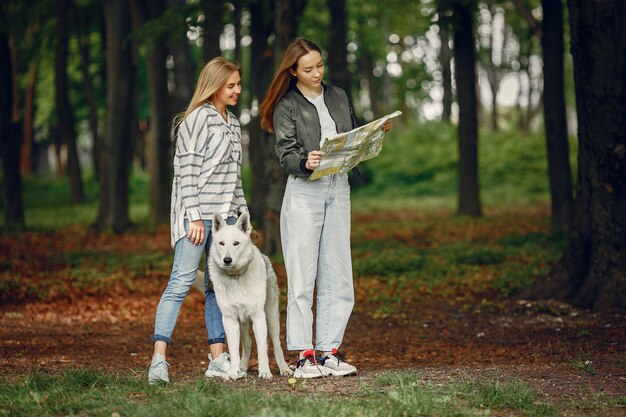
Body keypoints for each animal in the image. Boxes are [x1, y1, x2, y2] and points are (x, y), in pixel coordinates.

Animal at [201, 213, 294, 378]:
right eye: (221, 243)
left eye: (236, 243)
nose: (227, 260)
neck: (236, 276)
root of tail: (262, 254)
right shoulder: (229, 319)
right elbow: (234, 350)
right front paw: (233, 372)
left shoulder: (258, 317)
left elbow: (263, 349)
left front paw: (264, 372)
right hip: (243, 321)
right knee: (248, 343)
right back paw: (242, 368)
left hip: (271, 317)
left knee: (276, 344)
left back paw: (284, 369)